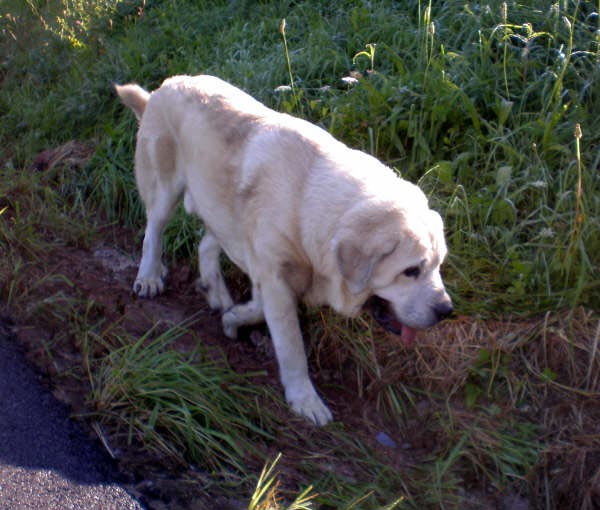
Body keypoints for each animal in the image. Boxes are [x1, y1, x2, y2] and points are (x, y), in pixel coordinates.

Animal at [115, 75, 452, 424]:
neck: (308, 203)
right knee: (153, 232)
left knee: (207, 243)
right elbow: (291, 345)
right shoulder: (274, 275)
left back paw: (216, 291)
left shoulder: (267, 267)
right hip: (165, 190)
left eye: (438, 266)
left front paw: (234, 317)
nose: (446, 311)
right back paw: (149, 277)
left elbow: (259, 307)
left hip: (223, 212)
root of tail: (167, 85)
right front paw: (305, 399)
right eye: (410, 271)